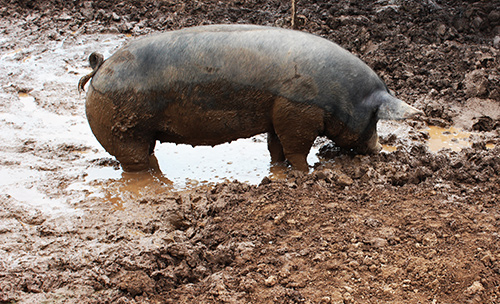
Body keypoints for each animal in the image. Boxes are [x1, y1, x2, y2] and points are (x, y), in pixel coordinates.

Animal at [79, 25, 422, 172]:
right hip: (124, 130)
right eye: (375, 119)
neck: (339, 94)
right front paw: (308, 171)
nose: (379, 149)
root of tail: (100, 66)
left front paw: (280, 168)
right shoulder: (299, 111)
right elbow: (297, 148)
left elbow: (276, 146)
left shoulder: (278, 112)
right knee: (135, 161)